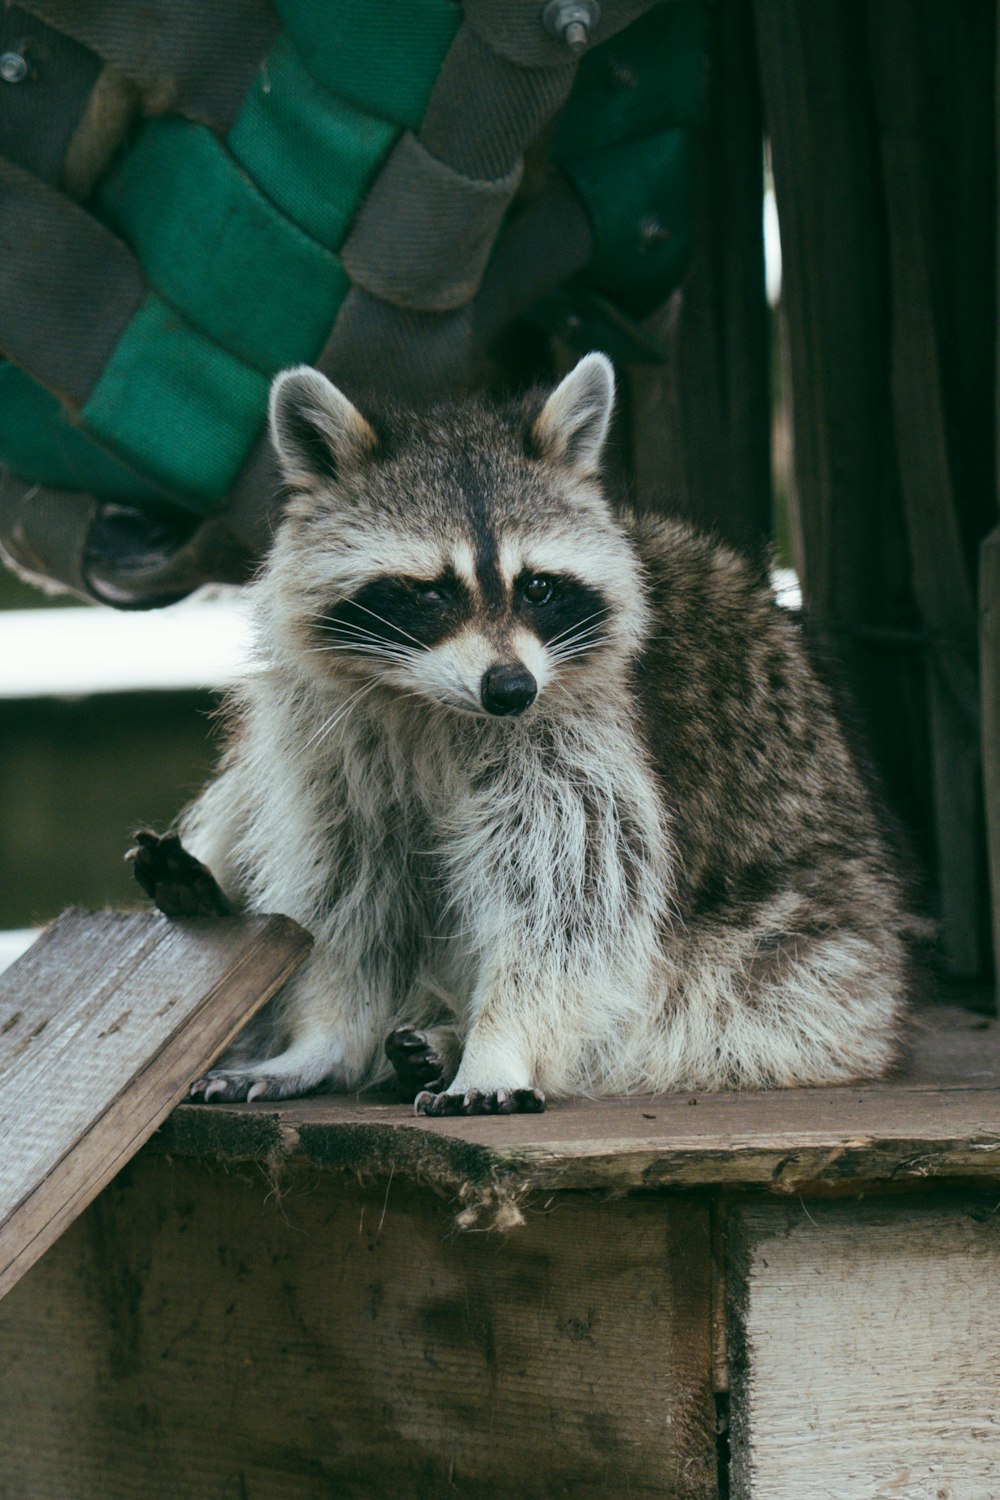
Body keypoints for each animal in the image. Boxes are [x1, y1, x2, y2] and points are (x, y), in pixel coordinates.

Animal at [146, 351, 917, 1116]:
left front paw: (496, 1043)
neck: (436, 704)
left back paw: (448, 1037)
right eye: (432, 591)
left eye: (538, 588)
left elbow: (568, 900)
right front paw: (322, 1037)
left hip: (822, 961)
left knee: (707, 1007)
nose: (510, 689)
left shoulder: (582, 736)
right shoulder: (336, 741)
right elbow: (351, 893)